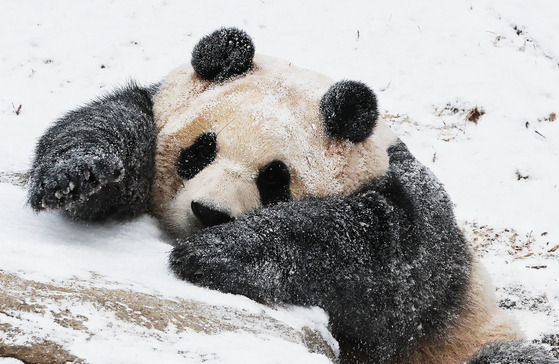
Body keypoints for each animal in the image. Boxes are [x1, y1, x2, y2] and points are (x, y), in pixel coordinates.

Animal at [26, 28, 556, 364]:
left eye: (274, 179)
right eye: (199, 151)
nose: (209, 213)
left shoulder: (414, 223)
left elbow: (378, 253)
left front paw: (216, 252)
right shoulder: (159, 105)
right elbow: (108, 122)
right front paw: (80, 175)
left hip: (469, 337)